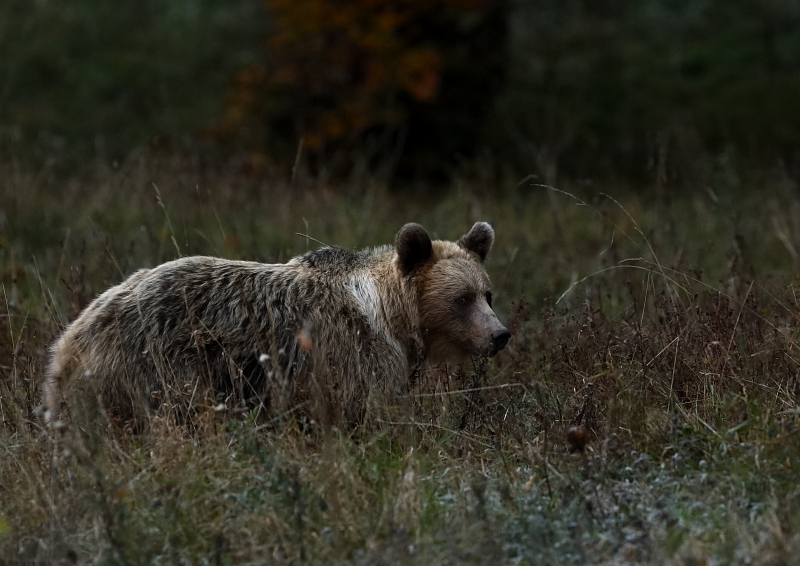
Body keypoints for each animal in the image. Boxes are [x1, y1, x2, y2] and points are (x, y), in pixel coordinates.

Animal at [40, 222, 510, 430]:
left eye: (487, 294)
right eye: (461, 298)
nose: (499, 335)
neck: (393, 317)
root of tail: (69, 341)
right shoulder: (350, 354)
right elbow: (361, 413)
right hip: (156, 368)